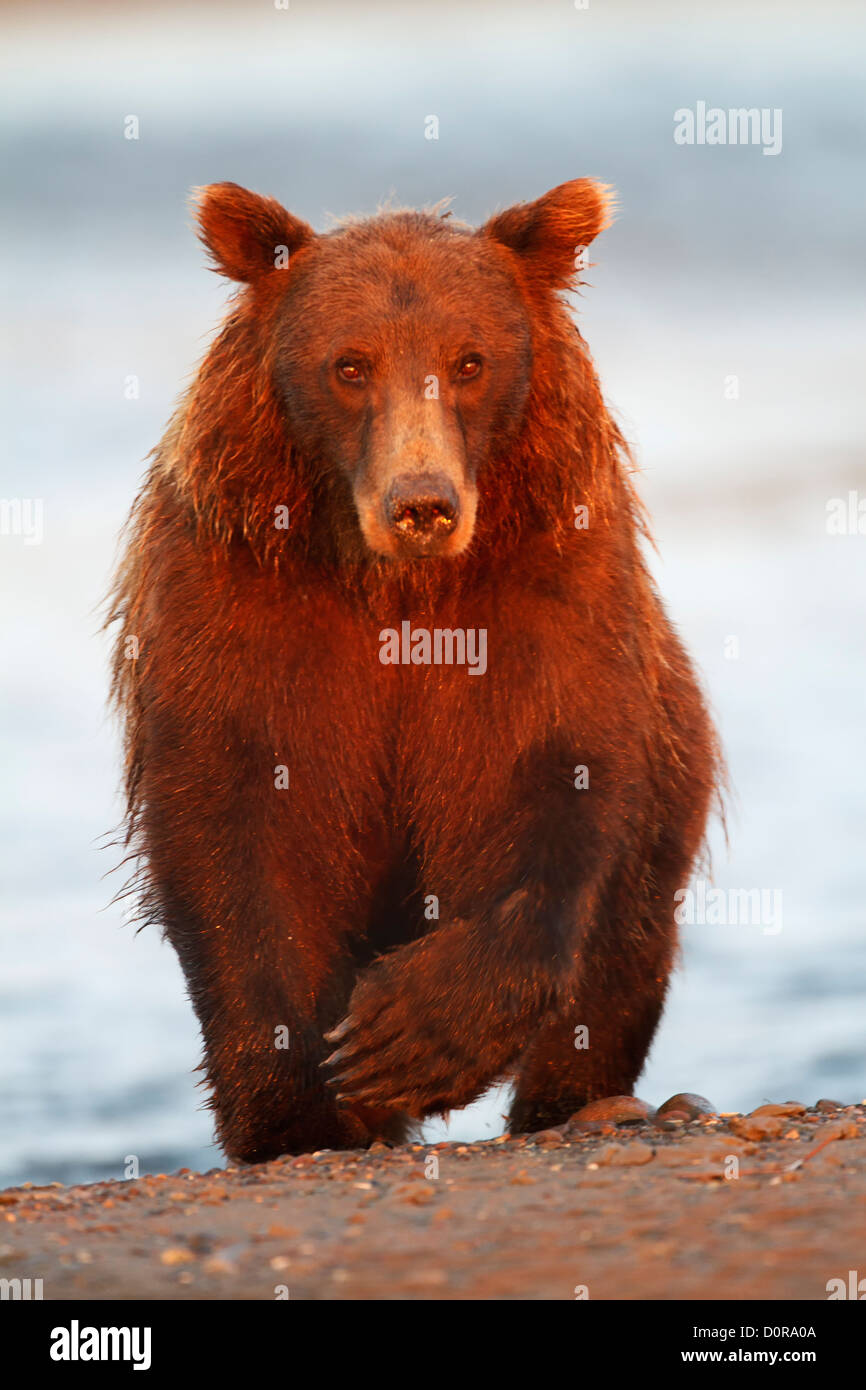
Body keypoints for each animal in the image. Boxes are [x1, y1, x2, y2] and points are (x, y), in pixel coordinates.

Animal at [107, 182, 717, 1162]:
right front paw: (298, 1111)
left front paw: (414, 1033)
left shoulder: (548, 593)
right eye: (350, 365)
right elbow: (232, 822)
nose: (422, 503)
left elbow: (557, 774)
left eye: (469, 360)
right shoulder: (233, 609)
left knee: (624, 943)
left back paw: (599, 1103)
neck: (392, 587)